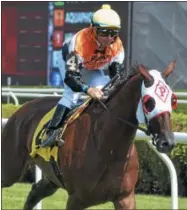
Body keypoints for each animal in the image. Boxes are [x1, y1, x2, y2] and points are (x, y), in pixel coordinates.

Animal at [1, 61, 177, 209]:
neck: (107, 147)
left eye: (172, 100)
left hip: (52, 178)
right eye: (149, 102)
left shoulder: (125, 198)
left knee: (35, 192)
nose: (167, 142)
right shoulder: (77, 199)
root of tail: (23, 108)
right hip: (10, 168)